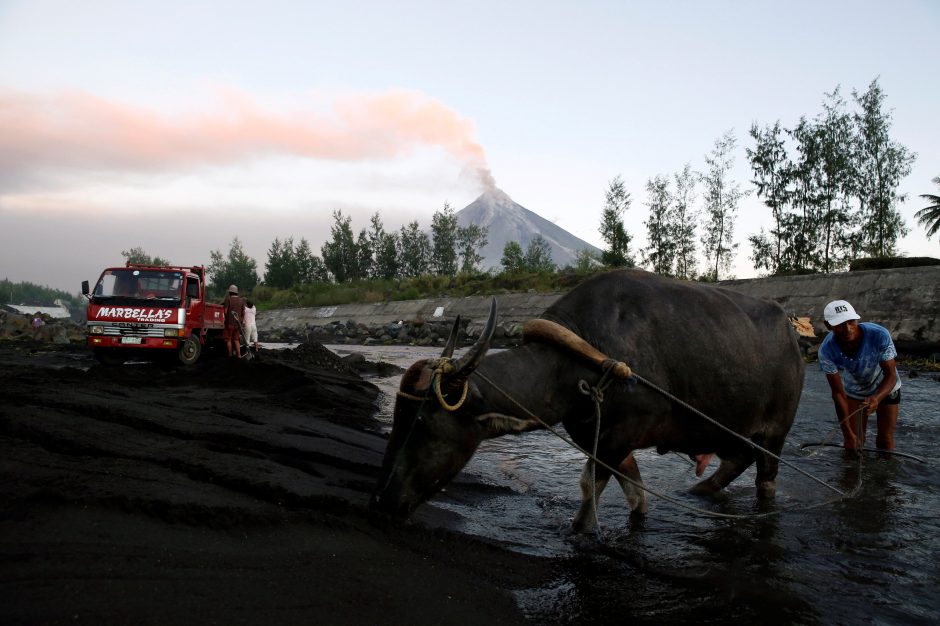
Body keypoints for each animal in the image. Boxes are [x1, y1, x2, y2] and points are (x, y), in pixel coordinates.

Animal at [370, 268, 804, 528]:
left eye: (422, 423)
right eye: (399, 417)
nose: (383, 500)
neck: (582, 359)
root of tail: (791, 331)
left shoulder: (619, 437)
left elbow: (587, 500)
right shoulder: (601, 439)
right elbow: (634, 495)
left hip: (775, 432)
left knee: (765, 476)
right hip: (733, 431)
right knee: (736, 460)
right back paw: (697, 492)